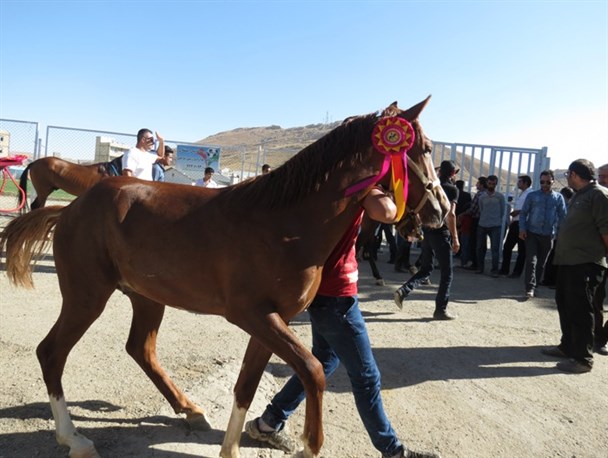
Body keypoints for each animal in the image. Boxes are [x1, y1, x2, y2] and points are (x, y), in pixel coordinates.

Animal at [1, 96, 452, 458]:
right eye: (426, 149)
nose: (440, 211)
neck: (285, 222)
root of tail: (69, 210)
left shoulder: (272, 321)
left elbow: (246, 387)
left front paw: (231, 447)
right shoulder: (252, 316)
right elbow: (313, 370)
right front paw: (310, 445)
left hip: (147, 297)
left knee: (140, 349)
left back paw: (189, 409)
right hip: (87, 296)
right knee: (51, 353)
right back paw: (74, 439)